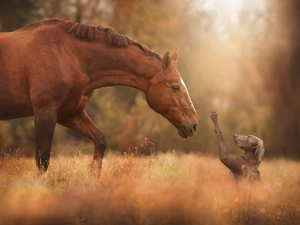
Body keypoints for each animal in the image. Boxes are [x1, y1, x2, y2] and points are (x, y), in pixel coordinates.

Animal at [0, 18, 198, 176]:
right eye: (175, 87)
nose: (193, 125)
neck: (69, 55)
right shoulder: (45, 112)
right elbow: (42, 159)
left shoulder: (69, 114)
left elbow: (100, 140)